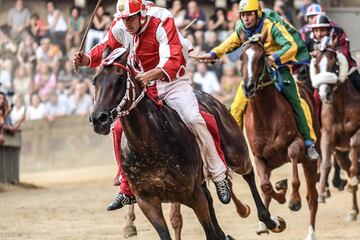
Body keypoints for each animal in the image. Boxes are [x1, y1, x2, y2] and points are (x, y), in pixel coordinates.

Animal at [90, 47, 286, 239]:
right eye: (94, 81)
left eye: (119, 79)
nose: (98, 119)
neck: (150, 147)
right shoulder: (147, 201)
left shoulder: (193, 194)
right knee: (211, 197)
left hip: (235, 152)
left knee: (248, 173)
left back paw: (268, 220)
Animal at [238, 34, 320, 240]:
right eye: (241, 57)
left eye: (261, 57)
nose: (249, 87)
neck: (266, 114)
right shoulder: (259, 157)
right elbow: (266, 187)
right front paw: (279, 196)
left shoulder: (296, 144)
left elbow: (293, 160)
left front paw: (294, 200)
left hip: (310, 160)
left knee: (313, 198)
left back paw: (310, 232)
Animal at [310, 41, 360, 221]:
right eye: (317, 66)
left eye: (334, 66)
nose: (325, 94)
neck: (340, 105)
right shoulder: (328, 136)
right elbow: (325, 163)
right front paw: (321, 193)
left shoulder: (357, 131)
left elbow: (354, 143)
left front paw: (352, 180)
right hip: (339, 152)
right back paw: (353, 211)